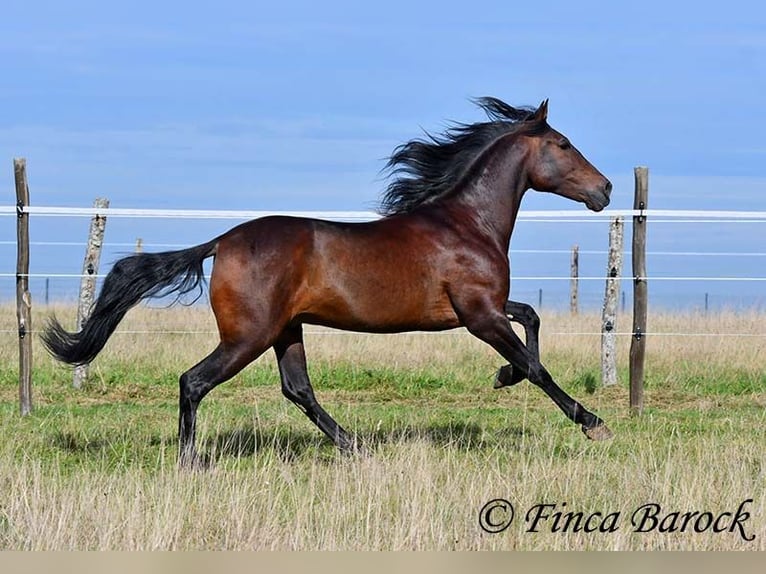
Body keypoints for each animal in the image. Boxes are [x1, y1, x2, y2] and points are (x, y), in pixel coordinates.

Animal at [42, 97, 614, 466]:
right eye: (563, 144)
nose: (605, 189)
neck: (467, 222)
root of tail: (222, 242)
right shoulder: (479, 315)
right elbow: (536, 367)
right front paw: (591, 422)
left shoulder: (487, 308)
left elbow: (532, 322)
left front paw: (502, 376)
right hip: (249, 336)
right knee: (194, 381)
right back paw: (191, 463)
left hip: (285, 331)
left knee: (298, 390)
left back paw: (356, 448)